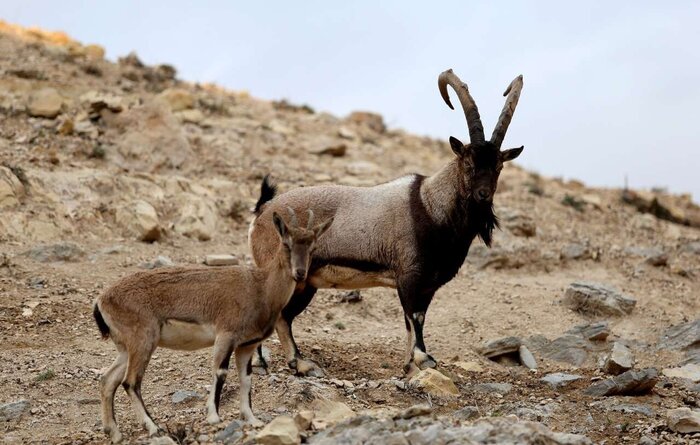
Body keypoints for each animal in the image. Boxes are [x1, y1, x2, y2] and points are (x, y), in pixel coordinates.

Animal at [93, 209, 334, 444]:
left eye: (312, 247)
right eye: (286, 243)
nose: (300, 273)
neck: (261, 288)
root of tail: (102, 300)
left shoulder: (246, 345)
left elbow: (246, 379)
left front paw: (252, 419)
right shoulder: (226, 335)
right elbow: (220, 372)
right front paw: (214, 417)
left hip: (126, 348)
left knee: (108, 380)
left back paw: (114, 432)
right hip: (143, 340)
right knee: (130, 382)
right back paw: (153, 428)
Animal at [249, 67, 524, 376]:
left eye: (498, 166)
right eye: (468, 163)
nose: (483, 195)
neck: (431, 206)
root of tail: (262, 211)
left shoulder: (427, 286)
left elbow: (414, 321)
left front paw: (409, 367)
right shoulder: (409, 277)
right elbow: (414, 320)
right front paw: (423, 360)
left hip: (307, 283)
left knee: (283, 317)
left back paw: (289, 362)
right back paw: (285, 363)